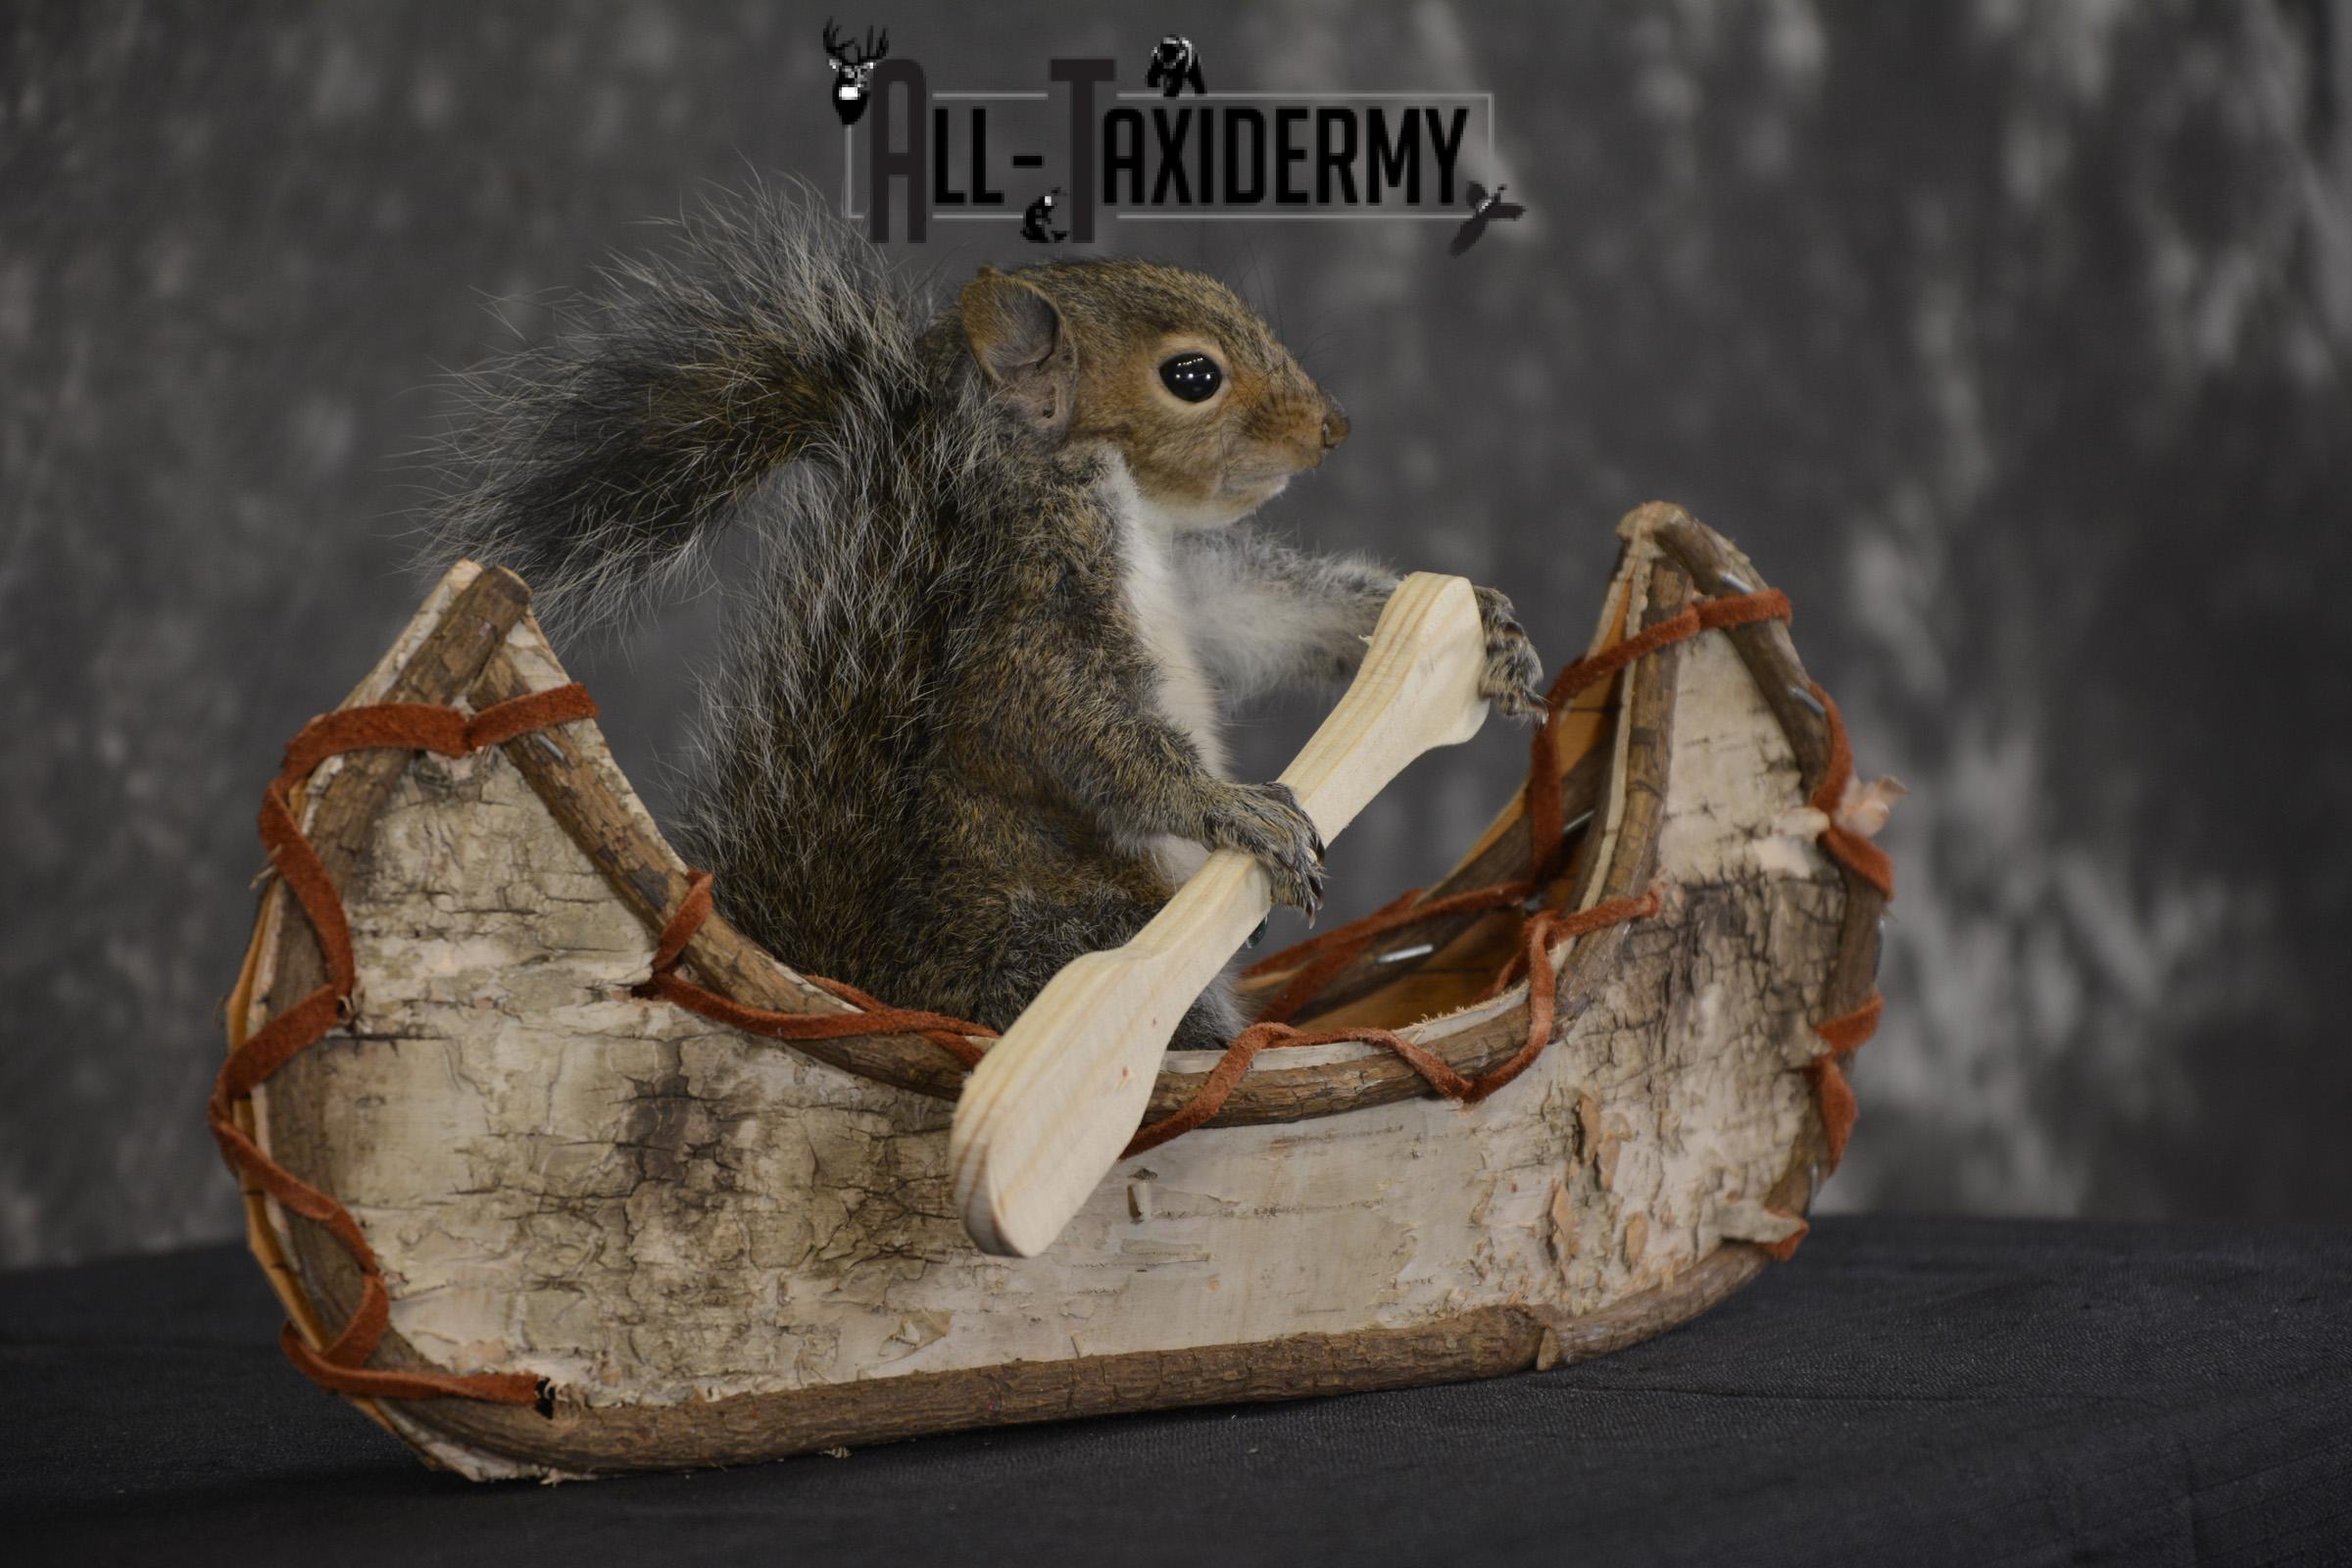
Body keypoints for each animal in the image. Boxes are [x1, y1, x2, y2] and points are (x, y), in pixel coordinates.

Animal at [433, 188, 1542, 1048]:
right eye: (1192, 376)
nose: (1334, 429)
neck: (1119, 504)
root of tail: (868, 983)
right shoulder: (1032, 616)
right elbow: (1089, 735)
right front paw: (1233, 807)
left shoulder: (1194, 589)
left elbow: (1268, 614)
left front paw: (1472, 626)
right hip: (1055, 935)